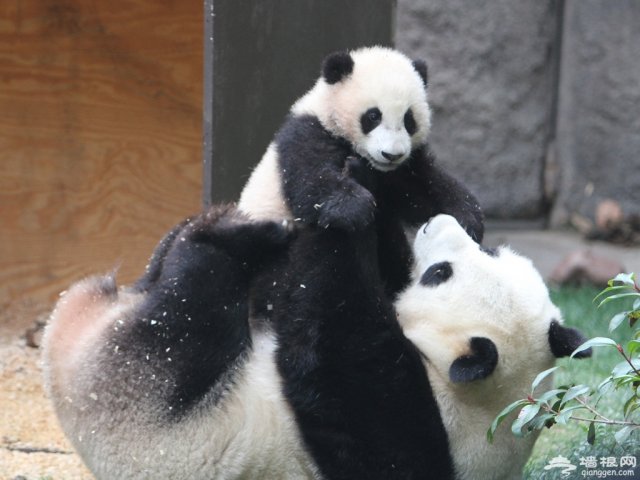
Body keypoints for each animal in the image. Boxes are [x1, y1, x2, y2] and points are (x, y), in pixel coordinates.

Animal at [40, 208, 592, 478]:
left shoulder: (408, 425)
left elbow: (332, 348)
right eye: (491, 249)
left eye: (439, 274)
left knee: (188, 306)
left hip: (146, 397)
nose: (439, 221)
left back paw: (225, 235)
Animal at [238, 47, 482, 296]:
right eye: (373, 116)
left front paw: (467, 218)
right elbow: (312, 182)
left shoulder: (401, 170)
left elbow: (423, 188)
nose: (392, 154)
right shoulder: (308, 134)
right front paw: (355, 207)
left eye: (409, 119)